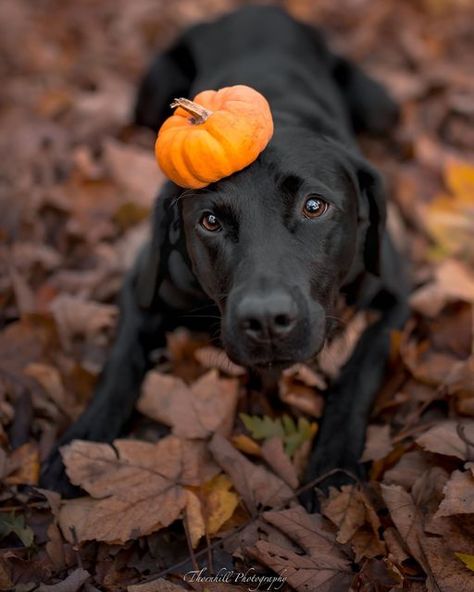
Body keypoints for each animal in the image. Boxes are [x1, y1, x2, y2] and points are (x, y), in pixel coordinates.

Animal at [40, 4, 410, 506]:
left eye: (314, 206)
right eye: (210, 221)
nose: (267, 321)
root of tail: (251, 9)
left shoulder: (395, 291)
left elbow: (360, 370)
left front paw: (333, 467)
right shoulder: (141, 285)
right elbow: (119, 363)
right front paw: (80, 443)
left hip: (382, 107)